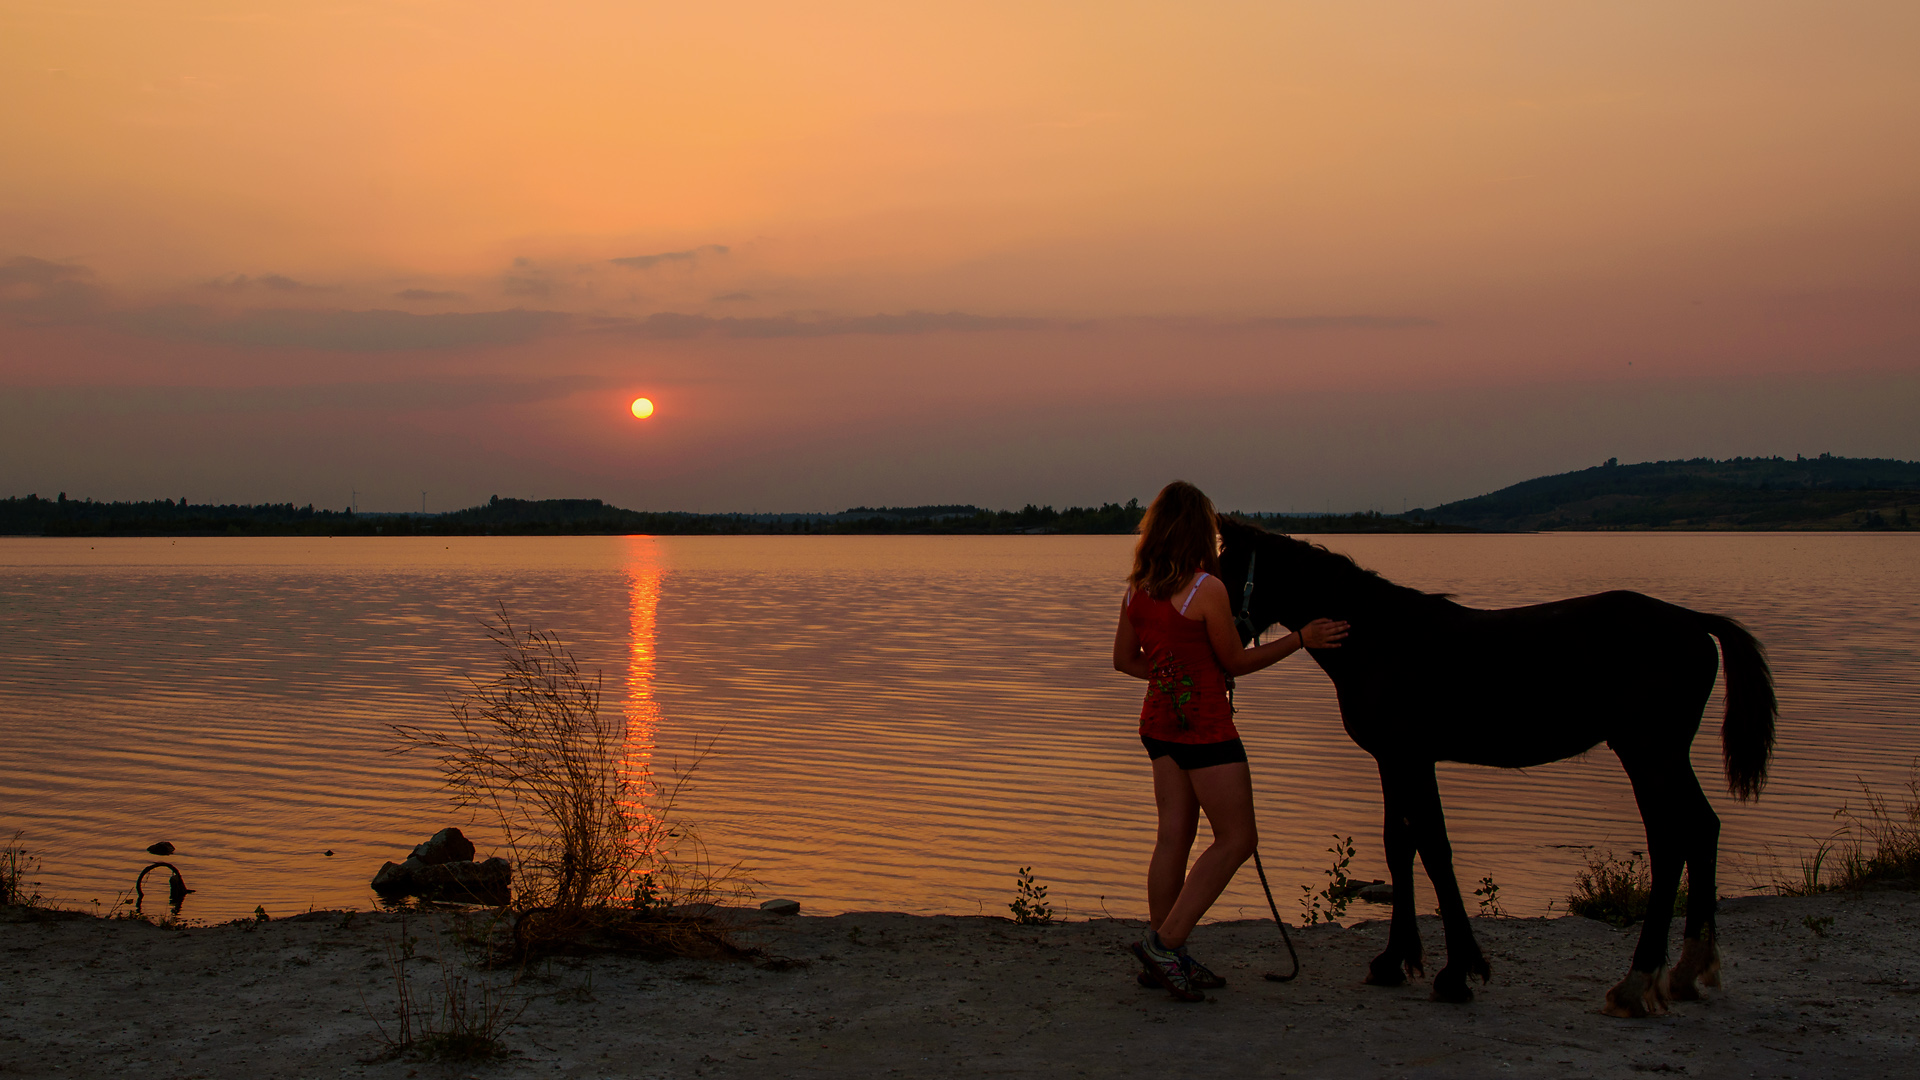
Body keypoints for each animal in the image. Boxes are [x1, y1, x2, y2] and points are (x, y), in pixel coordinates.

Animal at [1221, 518, 1774, 1014]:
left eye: (1222, 569)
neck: (1377, 636)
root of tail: (1694, 620)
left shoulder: (1412, 758)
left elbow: (1434, 849)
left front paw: (1456, 973)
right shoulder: (1392, 761)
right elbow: (1400, 846)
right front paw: (1394, 962)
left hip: (1648, 754)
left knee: (1670, 841)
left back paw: (1635, 984)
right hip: (1666, 756)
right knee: (1702, 829)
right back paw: (1685, 972)